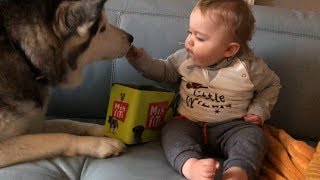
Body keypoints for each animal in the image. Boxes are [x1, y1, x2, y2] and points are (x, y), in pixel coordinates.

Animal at [0, 0, 134, 167]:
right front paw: (99, 143)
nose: (131, 38)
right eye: (102, 29)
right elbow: (59, 136)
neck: (25, 57)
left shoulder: (33, 123)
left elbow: (67, 123)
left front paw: (104, 129)